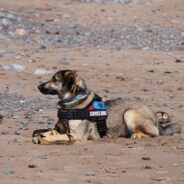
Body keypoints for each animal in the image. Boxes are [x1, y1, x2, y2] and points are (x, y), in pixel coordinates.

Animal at [32, 69, 181, 144]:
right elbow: (50, 132)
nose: (38, 86)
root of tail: (157, 121)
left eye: (55, 79)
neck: (72, 101)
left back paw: (138, 135)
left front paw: (46, 138)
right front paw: (40, 135)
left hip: (130, 113)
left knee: (154, 134)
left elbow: (59, 136)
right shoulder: (60, 128)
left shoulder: (77, 135)